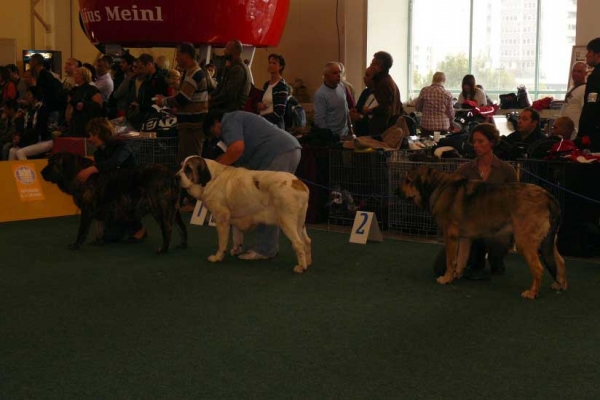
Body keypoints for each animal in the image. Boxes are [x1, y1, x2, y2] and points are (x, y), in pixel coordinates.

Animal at [41, 152, 186, 255]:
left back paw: (163, 249)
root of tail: (171, 175)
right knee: (182, 227)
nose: (41, 172)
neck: (78, 173)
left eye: (53, 163)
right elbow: (99, 227)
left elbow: (82, 230)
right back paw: (183, 245)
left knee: (167, 228)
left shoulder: (87, 209)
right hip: (173, 209)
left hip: (159, 208)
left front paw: (76, 245)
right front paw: (98, 241)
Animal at [177, 155, 314, 274]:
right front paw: (236, 250)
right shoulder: (234, 219)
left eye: (188, 169)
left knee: (299, 243)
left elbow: (222, 242)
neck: (212, 178)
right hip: (300, 222)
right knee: (307, 240)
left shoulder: (222, 218)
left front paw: (217, 257)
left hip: (287, 221)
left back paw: (301, 267)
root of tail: (298, 183)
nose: (176, 177)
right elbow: (237, 236)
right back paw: (308, 262)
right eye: (181, 166)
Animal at [398, 164, 568, 298]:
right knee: (560, 261)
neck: (437, 186)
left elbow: (451, 260)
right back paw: (560, 285)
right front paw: (456, 276)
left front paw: (446, 279)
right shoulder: (463, 238)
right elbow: (461, 260)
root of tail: (548, 196)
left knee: (538, 268)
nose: (395, 191)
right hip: (548, 241)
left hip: (524, 241)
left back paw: (532, 293)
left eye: (408, 181)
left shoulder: (450, 236)